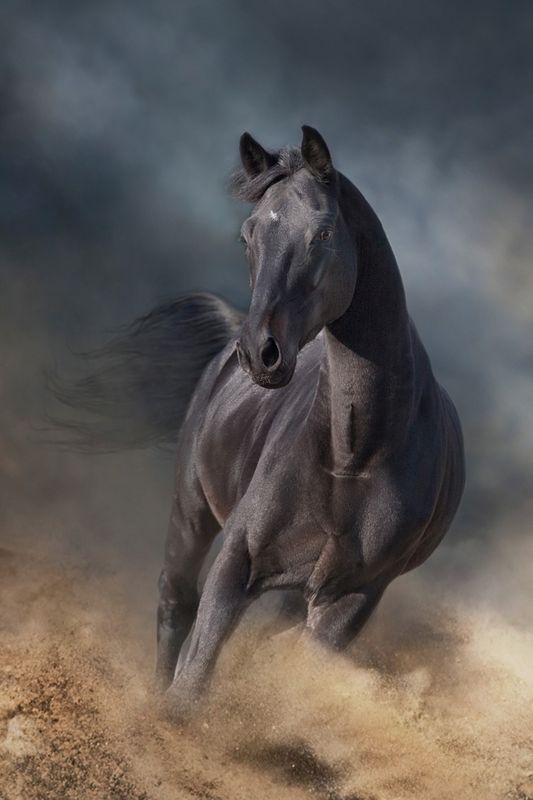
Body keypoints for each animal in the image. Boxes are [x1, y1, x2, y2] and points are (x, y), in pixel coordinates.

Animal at [53, 126, 465, 718]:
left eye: (322, 233)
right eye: (247, 235)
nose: (260, 353)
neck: (354, 456)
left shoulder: (350, 597)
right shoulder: (238, 558)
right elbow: (195, 672)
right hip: (191, 512)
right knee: (176, 602)